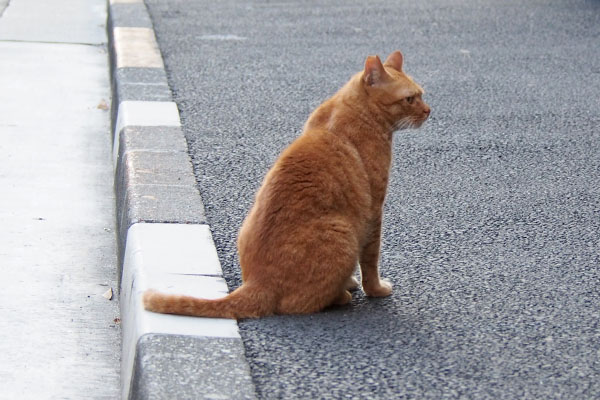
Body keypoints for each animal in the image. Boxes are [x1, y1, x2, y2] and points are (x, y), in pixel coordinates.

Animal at [143, 50, 428, 318]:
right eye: (410, 99)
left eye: (422, 95)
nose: (428, 111)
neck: (352, 109)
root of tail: (257, 282)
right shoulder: (373, 211)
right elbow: (371, 259)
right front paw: (376, 289)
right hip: (343, 230)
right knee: (301, 304)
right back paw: (341, 296)